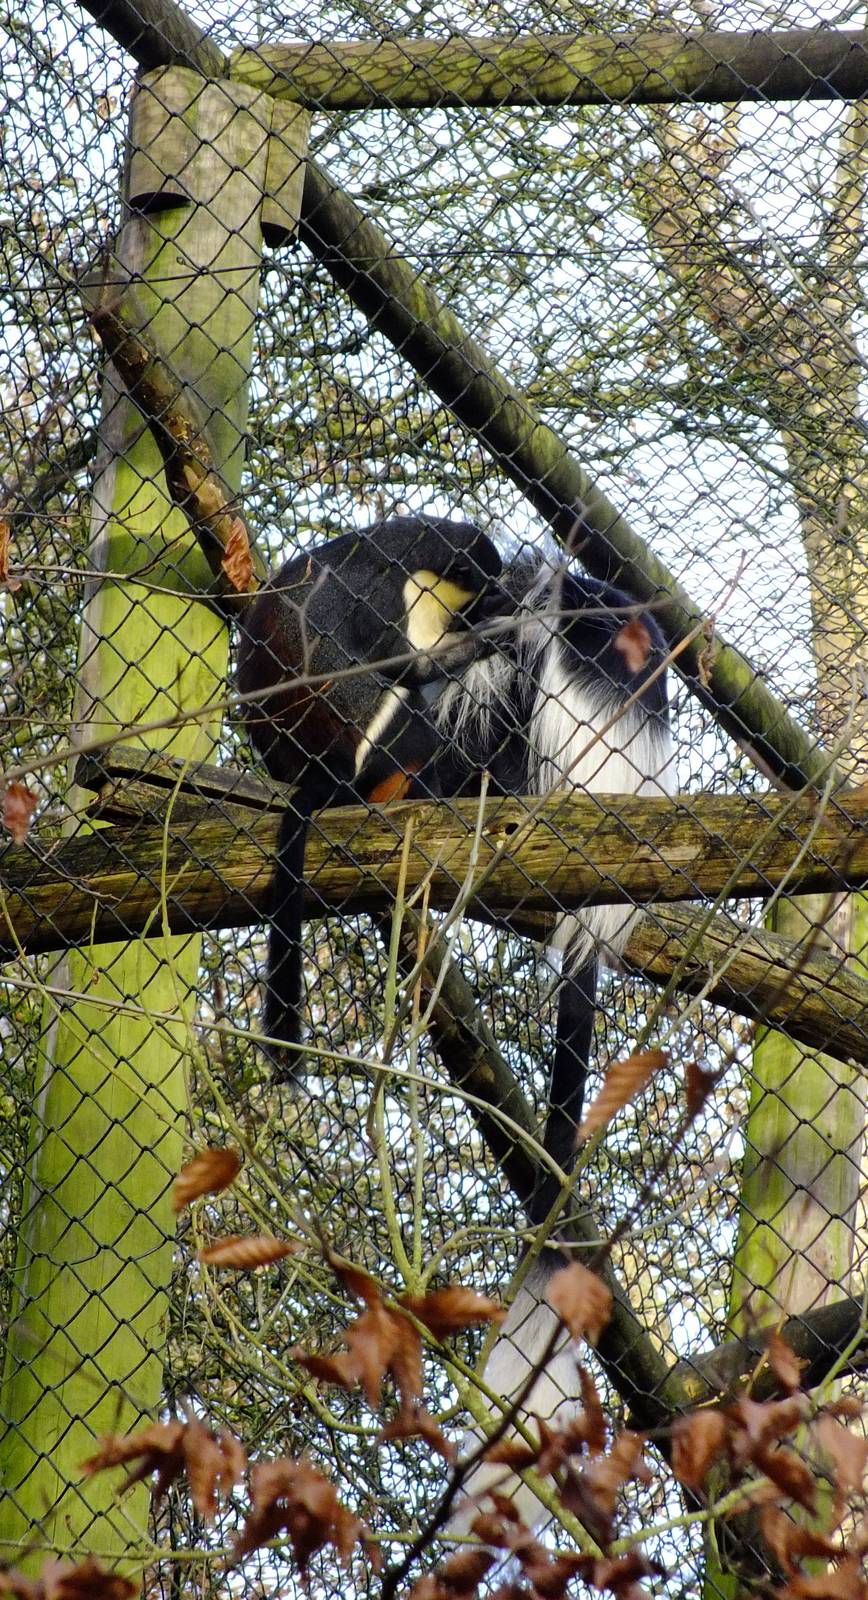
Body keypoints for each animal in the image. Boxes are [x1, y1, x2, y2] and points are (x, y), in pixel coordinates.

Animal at [236, 514, 503, 1078]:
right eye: (480, 587)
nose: (488, 603)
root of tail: (327, 771)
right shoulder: (391, 595)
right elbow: (407, 665)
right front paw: (496, 631)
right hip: (374, 744)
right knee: (407, 705)